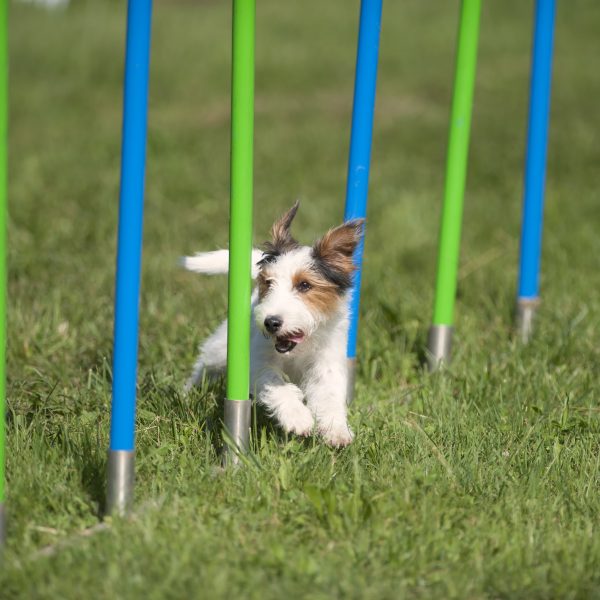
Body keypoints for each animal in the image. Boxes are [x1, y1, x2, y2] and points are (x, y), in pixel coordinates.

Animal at [182, 202, 366, 446]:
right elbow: (277, 385)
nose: (271, 322)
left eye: (305, 285)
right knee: (204, 366)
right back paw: (186, 393)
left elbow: (329, 396)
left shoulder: (326, 363)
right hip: (219, 351)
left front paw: (336, 430)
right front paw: (298, 418)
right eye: (268, 283)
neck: (298, 350)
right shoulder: (258, 361)